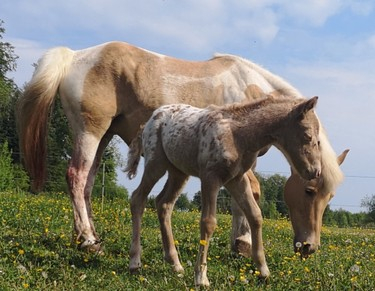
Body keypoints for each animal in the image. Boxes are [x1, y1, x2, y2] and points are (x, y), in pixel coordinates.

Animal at [16, 41, 346, 256]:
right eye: (309, 191)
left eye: (329, 197)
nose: (309, 247)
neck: (250, 91)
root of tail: (74, 57)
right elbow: (251, 194)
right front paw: (243, 244)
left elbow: (242, 196)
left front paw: (239, 243)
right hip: (91, 131)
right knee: (76, 176)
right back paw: (86, 241)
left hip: (103, 136)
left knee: (87, 184)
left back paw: (90, 238)